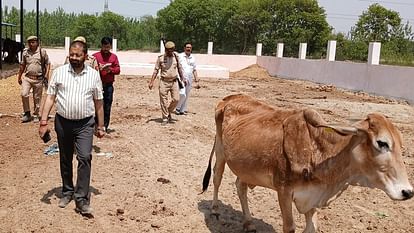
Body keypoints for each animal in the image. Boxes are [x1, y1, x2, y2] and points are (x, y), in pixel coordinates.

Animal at [202, 94, 412, 233]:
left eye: (401, 145)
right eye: (382, 143)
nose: (408, 192)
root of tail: (228, 99)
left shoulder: (313, 198)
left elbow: (312, 227)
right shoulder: (284, 191)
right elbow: (290, 226)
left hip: (247, 168)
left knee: (240, 186)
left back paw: (249, 223)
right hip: (220, 151)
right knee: (217, 177)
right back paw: (215, 210)